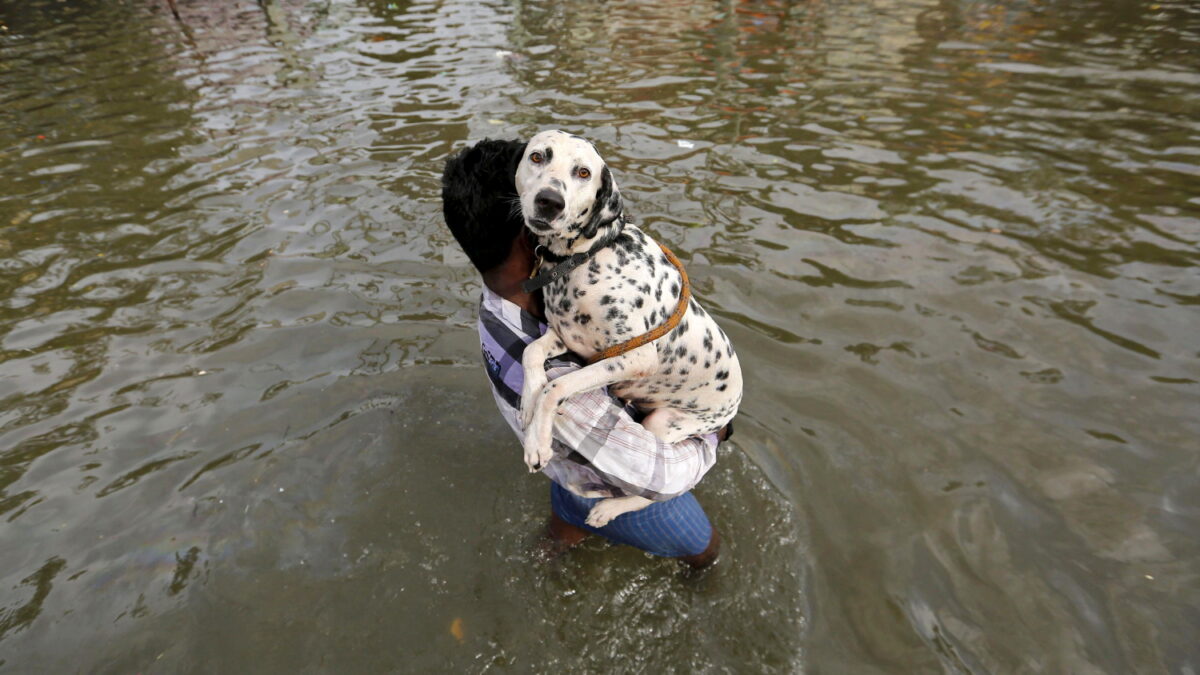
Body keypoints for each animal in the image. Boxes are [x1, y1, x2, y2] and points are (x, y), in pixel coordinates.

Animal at [516, 127, 739, 526]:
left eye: (583, 173)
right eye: (538, 156)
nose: (549, 201)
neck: (587, 256)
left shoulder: (632, 358)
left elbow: (557, 387)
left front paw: (537, 443)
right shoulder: (565, 337)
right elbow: (530, 353)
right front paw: (528, 404)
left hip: (665, 422)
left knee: (659, 493)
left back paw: (610, 508)